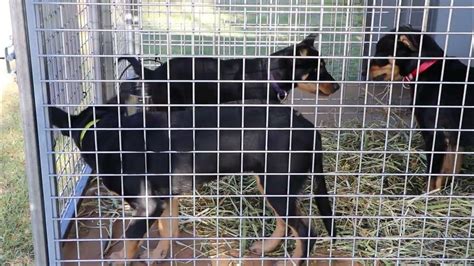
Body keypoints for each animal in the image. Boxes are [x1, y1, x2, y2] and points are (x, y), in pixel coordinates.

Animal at [50, 101, 336, 264]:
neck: (108, 133)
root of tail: (309, 128)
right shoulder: (166, 199)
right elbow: (167, 229)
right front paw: (158, 255)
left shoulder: (147, 206)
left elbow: (131, 239)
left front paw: (122, 258)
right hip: (270, 182)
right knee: (286, 222)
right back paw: (267, 247)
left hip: (277, 185)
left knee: (306, 232)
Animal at [370, 25, 474, 191]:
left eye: (378, 54)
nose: (363, 72)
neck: (425, 68)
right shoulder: (453, 141)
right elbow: (447, 173)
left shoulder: (436, 137)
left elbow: (432, 177)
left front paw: (425, 195)